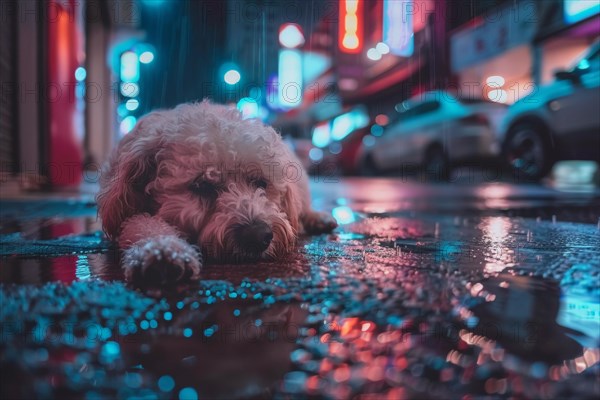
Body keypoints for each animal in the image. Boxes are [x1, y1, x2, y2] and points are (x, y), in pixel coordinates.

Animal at [96, 101, 336, 286]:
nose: (259, 236)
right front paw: (161, 250)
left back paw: (317, 218)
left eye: (261, 182)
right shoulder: (124, 213)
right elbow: (141, 223)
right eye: (202, 185)